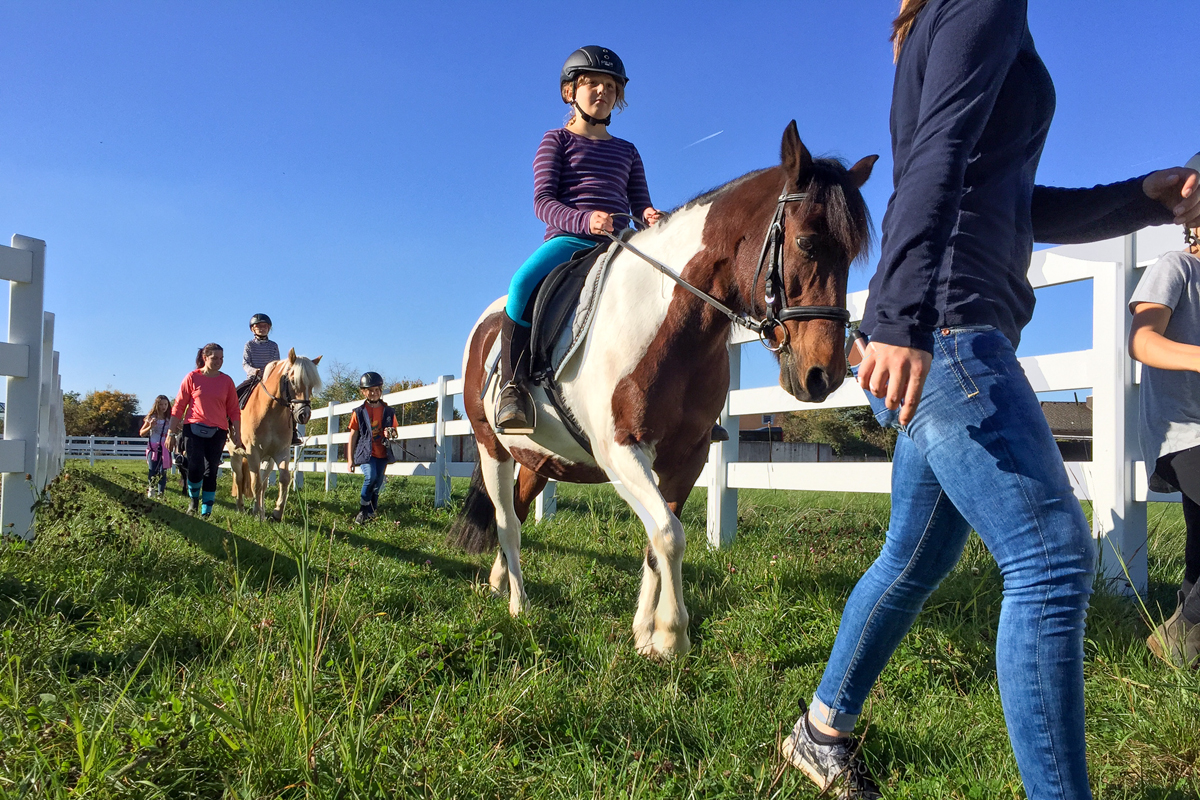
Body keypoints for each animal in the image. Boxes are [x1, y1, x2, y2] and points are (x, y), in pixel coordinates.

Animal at [226, 350, 321, 520]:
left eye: (311, 385)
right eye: (292, 381)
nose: (304, 415)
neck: (270, 413)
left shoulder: (280, 452)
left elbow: (283, 479)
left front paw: (276, 512)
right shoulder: (253, 453)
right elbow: (255, 483)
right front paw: (257, 513)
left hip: (267, 459)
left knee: (263, 483)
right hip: (235, 454)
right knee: (239, 478)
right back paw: (241, 507)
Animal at [451, 120, 873, 657]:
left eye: (851, 256)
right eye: (807, 243)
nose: (824, 375)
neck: (670, 322)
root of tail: (484, 325)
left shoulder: (687, 456)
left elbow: (658, 540)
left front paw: (645, 636)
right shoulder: (621, 452)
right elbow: (669, 536)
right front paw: (672, 636)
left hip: (539, 459)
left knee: (521, 513)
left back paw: (499, 582)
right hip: (492, 448)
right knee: (507, 523)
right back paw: (519, 605)